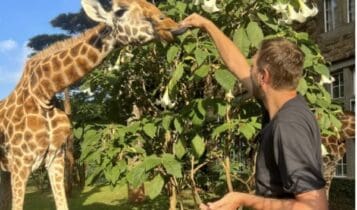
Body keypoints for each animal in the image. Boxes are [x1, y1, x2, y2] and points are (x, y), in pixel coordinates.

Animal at [0, 0, 185, 209]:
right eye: (120, 12)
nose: (171, 25)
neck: (44, 92)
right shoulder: (21, 163)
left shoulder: (55, 158)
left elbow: (62, 204)